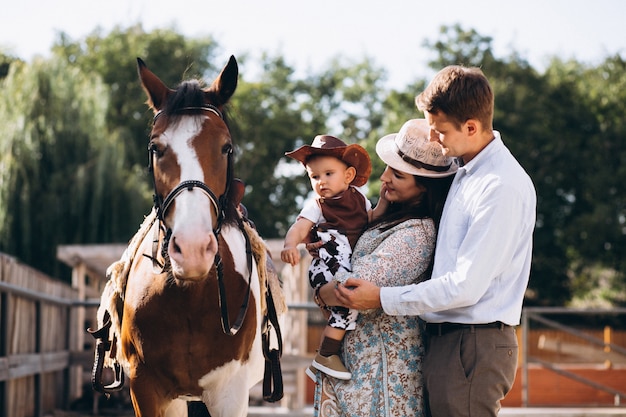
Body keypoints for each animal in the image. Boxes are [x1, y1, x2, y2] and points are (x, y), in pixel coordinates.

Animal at [90, 55, 286, 416]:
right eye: (156, 148)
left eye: (226, 147)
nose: (193, 249)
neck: (189, 298)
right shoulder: (146, 388)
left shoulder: (230, 393)